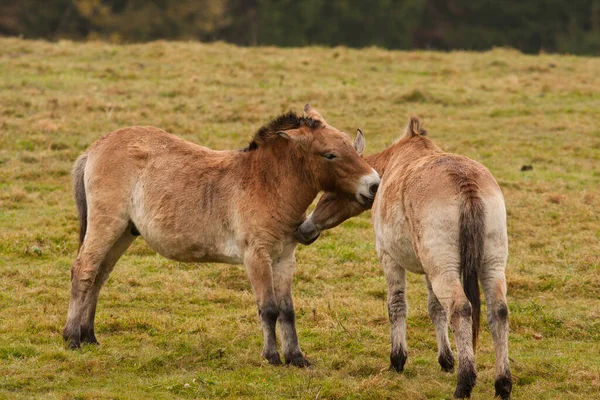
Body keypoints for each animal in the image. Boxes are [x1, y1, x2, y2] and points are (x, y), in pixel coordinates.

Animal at [64, 104, 380, 368]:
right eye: (330, 154)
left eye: (354, 148)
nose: (374, 184)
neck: (266, 183)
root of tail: (94, 148)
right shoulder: (256, 257)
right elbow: (268, 309)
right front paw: (272, 357)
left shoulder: (284, 259)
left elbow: (287, 310)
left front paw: (297, 358)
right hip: (106, 225)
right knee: (84, 271)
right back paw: (72, 339)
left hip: (123, 233)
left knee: (99, 276)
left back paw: (89, 336)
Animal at [296, 117, 510, 398]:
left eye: (330, 194)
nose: (304, 228)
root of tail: (466, 184)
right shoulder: (429, 270)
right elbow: (435, 309)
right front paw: (446, 360)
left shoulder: (390, 259)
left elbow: (396, 305)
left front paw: (397, 360)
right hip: (489, 266)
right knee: (499, 312)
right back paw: (503, 384)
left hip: (444, 270)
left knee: (461, 309)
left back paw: (464, 382)